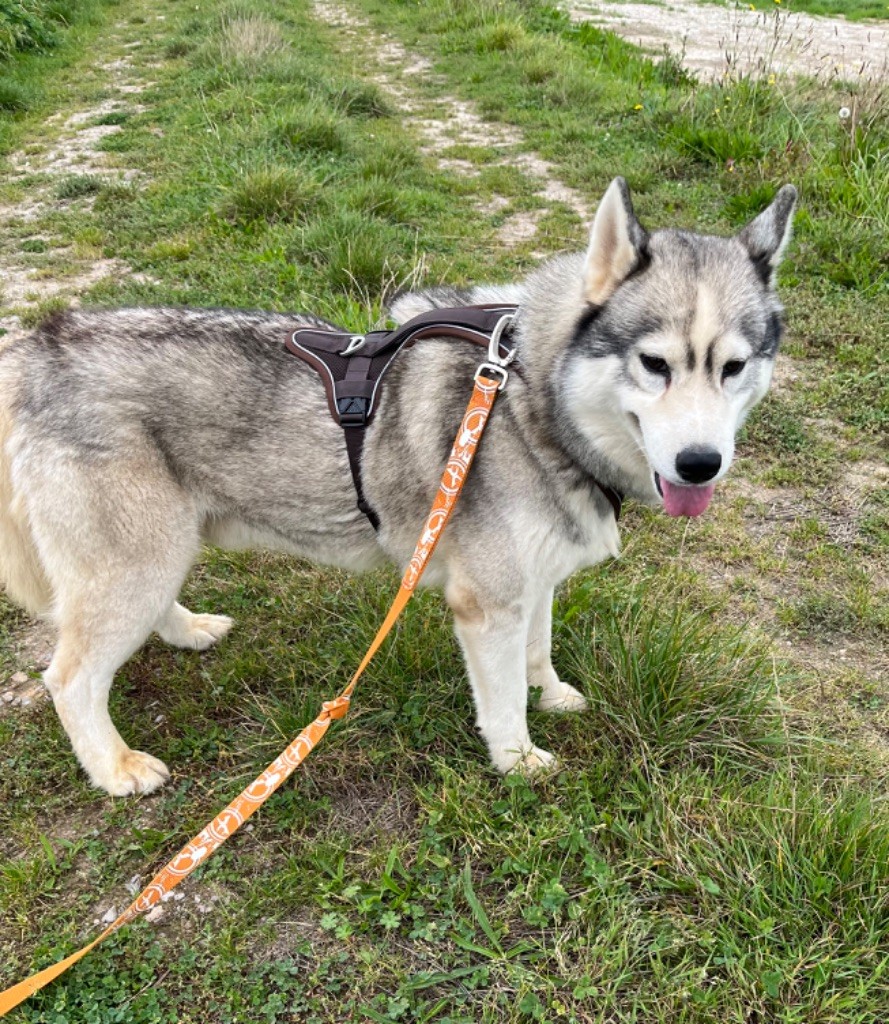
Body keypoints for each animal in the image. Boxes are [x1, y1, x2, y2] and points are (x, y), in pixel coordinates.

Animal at [0, 180, 794, 794]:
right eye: (654, 364)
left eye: (732, 367)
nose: (700, 463)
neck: (527, 399)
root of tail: (40, 345)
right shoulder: (487, 606)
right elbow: (504, 699)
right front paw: (518, 761)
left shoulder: (534, 582)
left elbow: (538, 654)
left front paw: (554, 696)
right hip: (136, 564)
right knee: (70, 679)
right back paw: (114, 769)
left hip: (159, 554)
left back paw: (187, 630)